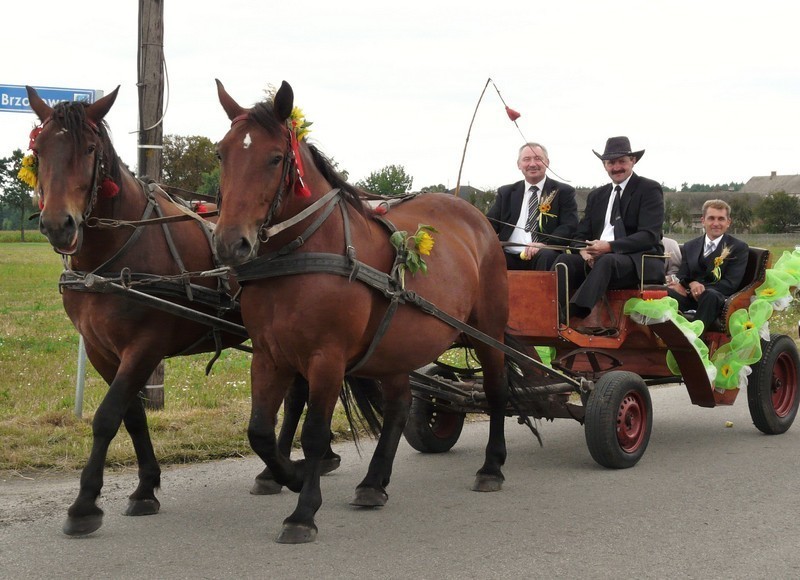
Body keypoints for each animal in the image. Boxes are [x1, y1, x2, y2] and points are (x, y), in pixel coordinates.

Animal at [26, 85, 330, 536]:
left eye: (89, 149)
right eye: (40, 149)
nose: (58, 224)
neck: (118, 252)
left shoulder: (145, 346)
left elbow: (106, 417)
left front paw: (84, 505)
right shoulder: (101, 350)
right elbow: (132, 416)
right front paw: (145, 488)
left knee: (299, 396)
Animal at [212, 80, 512, 544]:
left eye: (275, 158)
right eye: (221, 154)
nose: (230, 244)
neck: (302, 254)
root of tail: (475, 217)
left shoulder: (327, 358)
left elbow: (315, 434)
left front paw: (303, 511)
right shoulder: (268, 355)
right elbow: (259, 432)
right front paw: (289, 477)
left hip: (487, 332)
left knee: (496, 390)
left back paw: (491, 466)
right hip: (396, 343)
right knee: (400, 404)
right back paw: (373, 482)